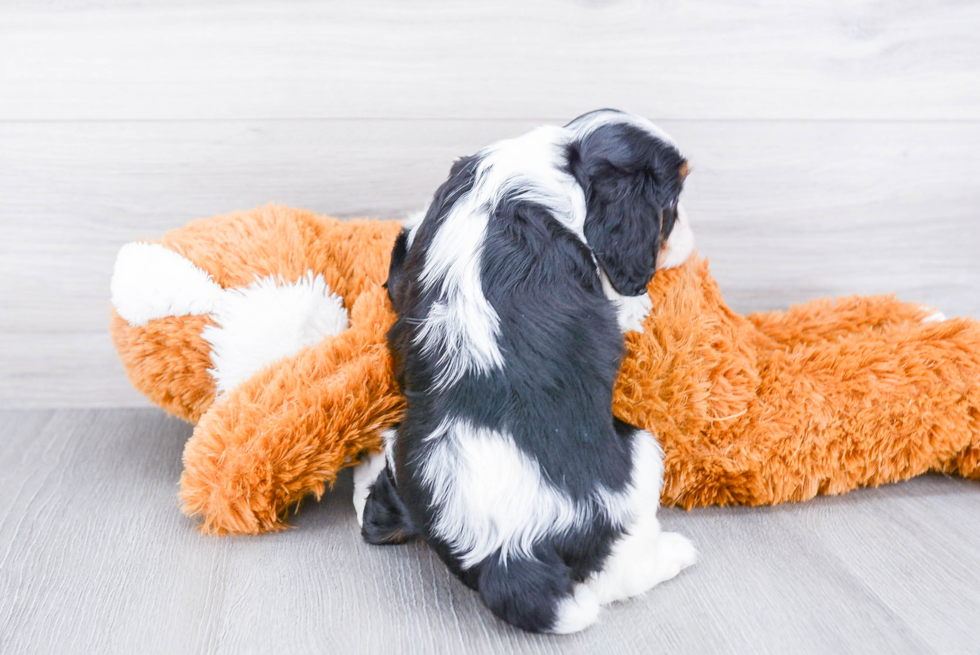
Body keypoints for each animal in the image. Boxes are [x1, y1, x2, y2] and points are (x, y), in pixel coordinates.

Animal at [352, 110, 696, 632]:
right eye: (671, 205)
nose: (692, 237)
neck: (560, 161)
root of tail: (508, 552)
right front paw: (637, 304)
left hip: (411, 470)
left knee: (378, 514)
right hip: (642, 455)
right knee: (622, 572)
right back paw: (676, 553)